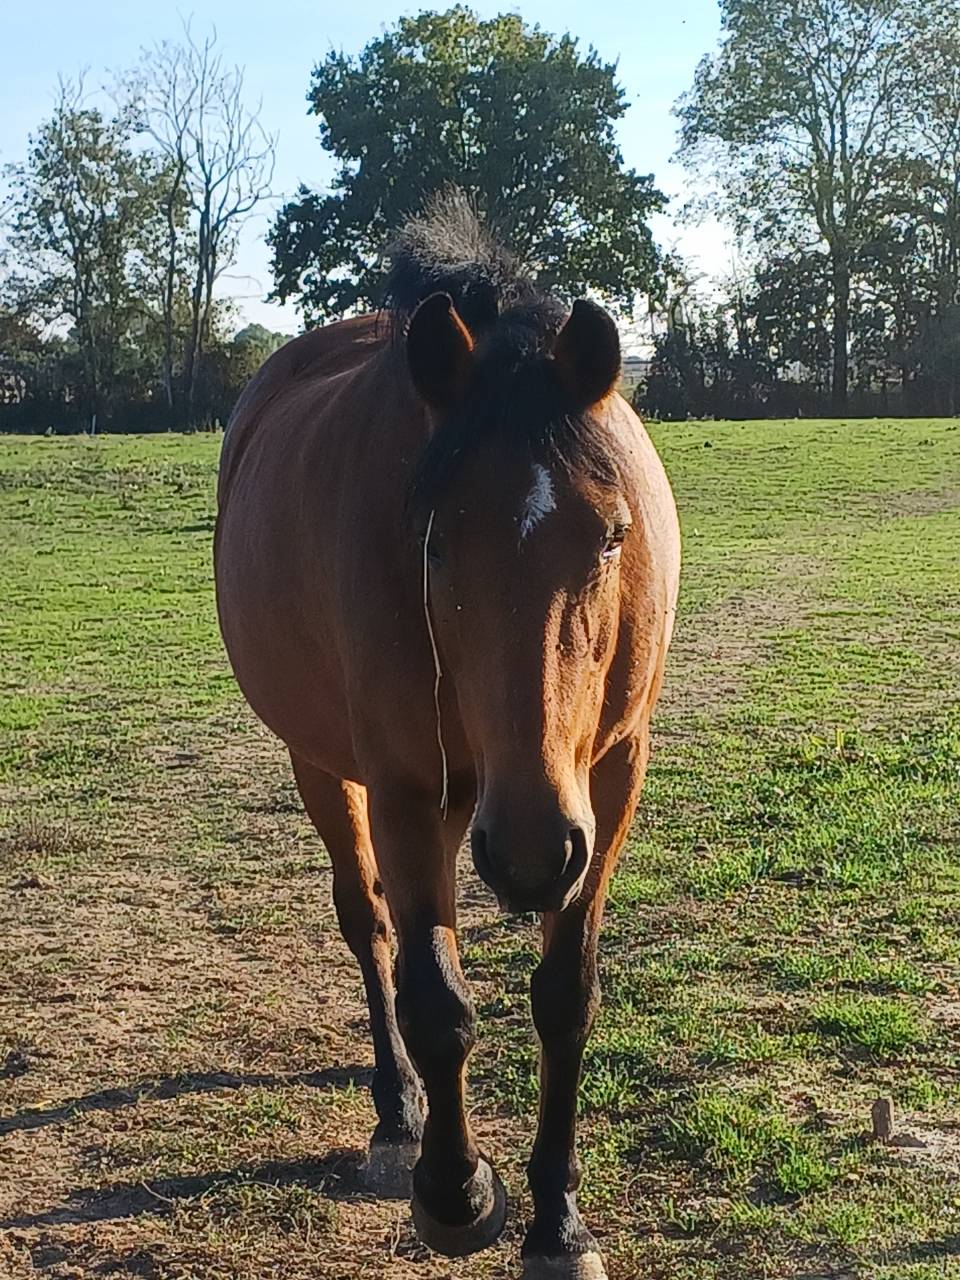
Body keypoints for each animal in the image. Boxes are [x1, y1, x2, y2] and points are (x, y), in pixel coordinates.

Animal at [214, 194, 680, 1280]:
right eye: (434, 540)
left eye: (612, 535)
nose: (531, 851)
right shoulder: (402, 786)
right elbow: (435, 998)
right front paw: (456, 1190)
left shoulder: (608, 780)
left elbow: (563, 994)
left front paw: (559, 1223)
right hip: (330, 768)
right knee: (370, 925)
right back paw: (397, 1117)